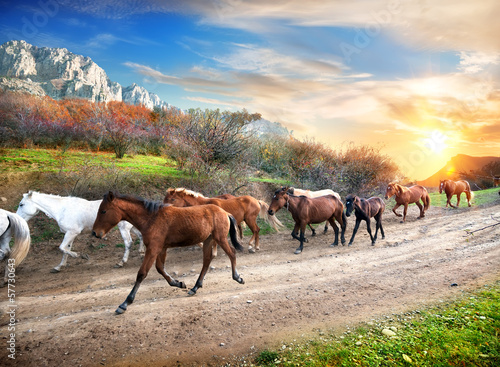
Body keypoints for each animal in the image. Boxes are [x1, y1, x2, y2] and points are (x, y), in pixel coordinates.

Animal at [16, 193, 145, 274]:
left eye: (21, 204)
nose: (17, 218)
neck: (62, 209)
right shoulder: (70, 234)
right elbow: (65, 250)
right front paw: (59, 267)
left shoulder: (72, 232)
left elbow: (62, 248)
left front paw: (80, 255)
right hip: (132, 227)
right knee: (140, 236)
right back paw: (142, 253)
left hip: (124, 228)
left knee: (128, 243)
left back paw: (121, 262)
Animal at [93, 191, 245, 314]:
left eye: (103, 211)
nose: (95, 233)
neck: (151, 219)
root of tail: (225, 212)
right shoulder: (161, 248)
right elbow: (160, 268)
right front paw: (178, 283)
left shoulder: (153, 248)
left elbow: (142, 273)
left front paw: (125, 303)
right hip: (208, 240)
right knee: (207, 260)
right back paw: (195, 287)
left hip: (220, 238)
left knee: (231, 253)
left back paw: (237, 277)